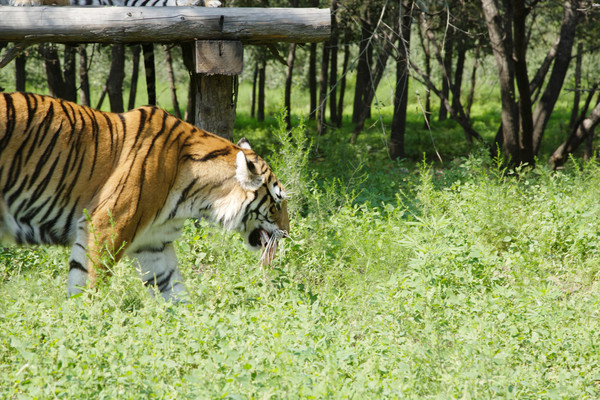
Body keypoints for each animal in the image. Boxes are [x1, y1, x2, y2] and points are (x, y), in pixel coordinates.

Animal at [0, 93, 290, 300]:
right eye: (276, 205)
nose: (287, 234)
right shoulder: (106, 227)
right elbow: (88, 285)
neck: (193, 196)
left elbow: (174, 291)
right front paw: (83, 327)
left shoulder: (154, 243)